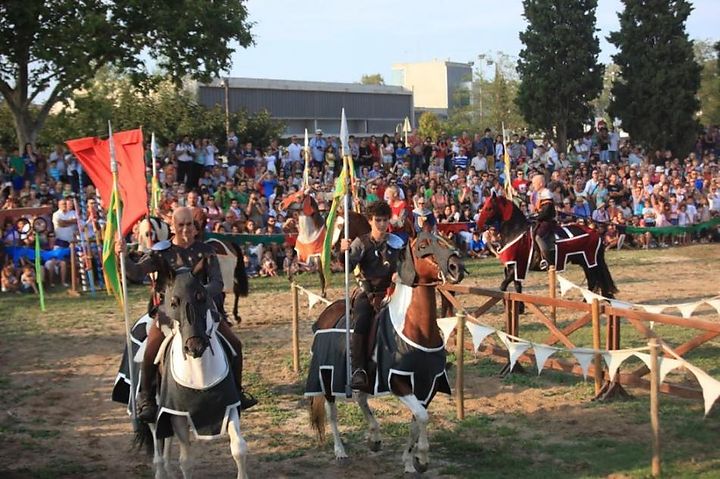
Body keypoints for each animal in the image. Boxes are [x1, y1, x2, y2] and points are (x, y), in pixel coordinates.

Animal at [306, 231, 464, 474]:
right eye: (423, 245)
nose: (457, 267)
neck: (416, 329)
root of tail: (327, 312)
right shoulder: (398, 382)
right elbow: (422, 417)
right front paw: (421, 458)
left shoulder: (427, 385)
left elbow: (417, 421)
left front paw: (411, 461)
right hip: (327, 375)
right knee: (331, 411)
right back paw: (340, 450)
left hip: (363, 377)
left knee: (361, 397)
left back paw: (374, 436)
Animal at [476, 192, 616, 298]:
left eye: (489, 208)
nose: (478, 226)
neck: (516, 232)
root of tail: (595, 233)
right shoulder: (514, 268)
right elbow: (516, 287)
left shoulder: (516, 267)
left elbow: (503, 286)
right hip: (585, 263)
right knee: (594, 281)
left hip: (590, 263)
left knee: (594, 281)